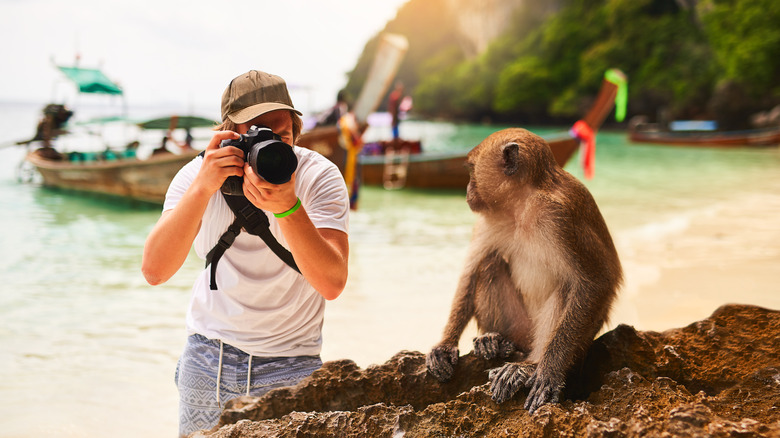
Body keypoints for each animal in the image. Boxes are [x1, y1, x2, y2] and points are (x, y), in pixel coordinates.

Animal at [426, 128, 622, 414]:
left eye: (471, 170)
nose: (468, 190)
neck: (522, 203)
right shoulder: (490, 217)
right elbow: (471, 271)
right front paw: (445, 345)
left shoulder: (560, 216)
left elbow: (597, 280)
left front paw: (548, 371)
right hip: (519, 326)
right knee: (489, 264)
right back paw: (496, 341)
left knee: (568, 287)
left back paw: (528, 366)